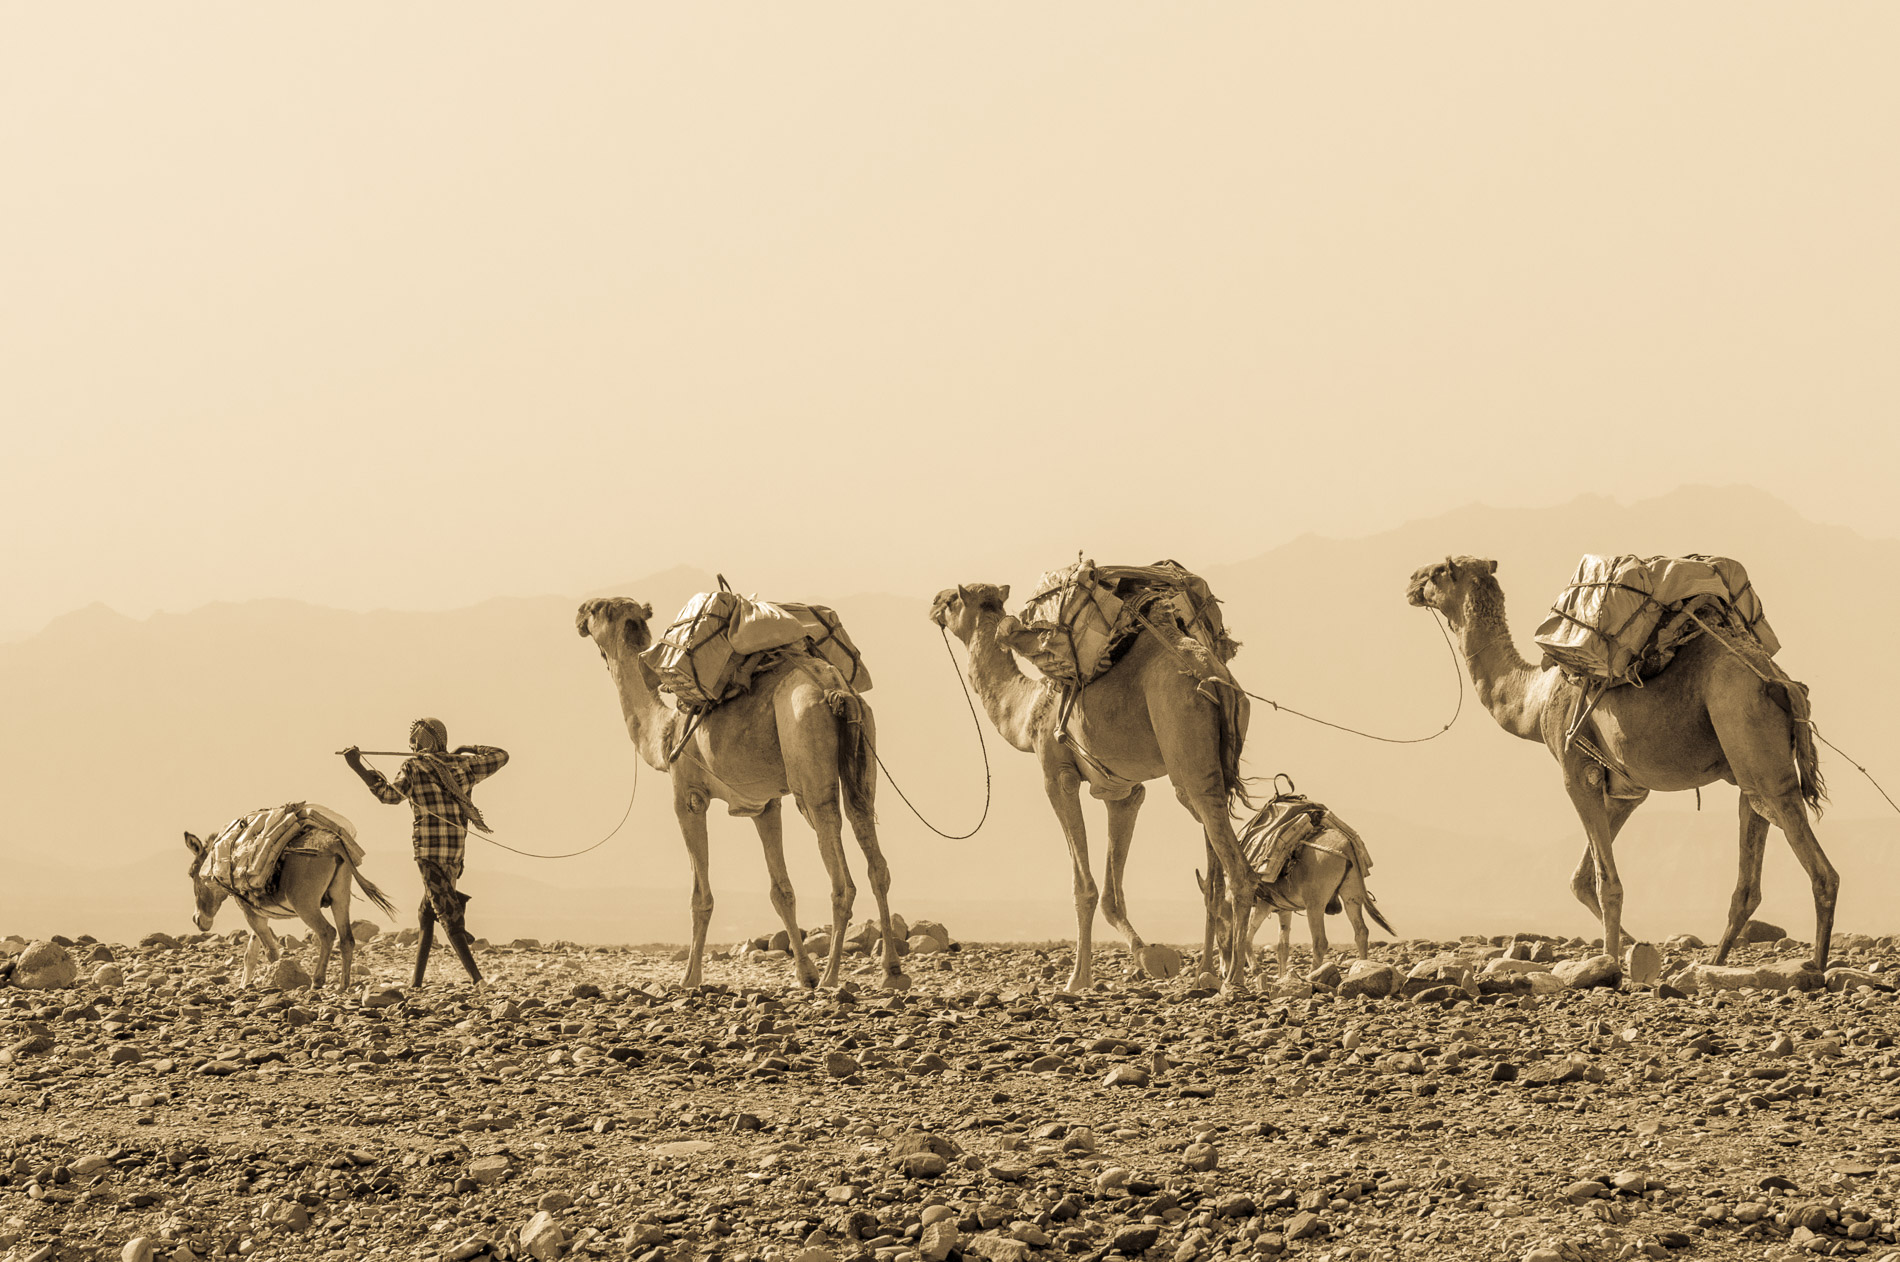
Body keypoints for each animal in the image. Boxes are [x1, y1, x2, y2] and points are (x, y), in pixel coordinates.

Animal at [181, 832, 397, 988]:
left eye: (191, 873)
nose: (197, 920)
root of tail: (332, 843)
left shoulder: (251, 914)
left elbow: (270, 952)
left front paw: (275, 979)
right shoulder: (259, 915)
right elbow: (250, 954)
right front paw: (244, 986)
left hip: (305, 905)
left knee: (327, 933)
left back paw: (317, 981)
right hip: (340, 898)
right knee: (347, 939)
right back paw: (343, 986)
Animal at [573, 596, 908, 988]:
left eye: (596, 610)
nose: (578, 614)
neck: (665, 734)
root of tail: (834, 688)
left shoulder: (688, 795)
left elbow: (700, 897)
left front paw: (689, 978)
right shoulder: (764, 804)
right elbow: (781, 891)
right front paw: (804, 974)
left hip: (806, 754)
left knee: (839, 866)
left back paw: (831, 977)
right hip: (863, 745)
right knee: (870, 844)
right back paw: (890, 971)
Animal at [931, 585, 1261, 995]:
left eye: (952, 601)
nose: (933, 603)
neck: (1027, 710)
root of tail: (1215, 678)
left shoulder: (1057, 774)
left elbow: (1083, 887)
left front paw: (1078, 978)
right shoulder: (1122, 791)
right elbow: (1110, 892)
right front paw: (1148, 955)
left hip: (1185, 748)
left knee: (1231, 858)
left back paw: (1234, 979)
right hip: (1215, 758)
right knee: (1218, 864)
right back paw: (1214, 971)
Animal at [1406, 558, 1831, 969]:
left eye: (1439, 571)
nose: (1411, 581)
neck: (1534, 700)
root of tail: (1780, 681)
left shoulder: (1577, 771)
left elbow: (1604, 883)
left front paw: (1609, 961)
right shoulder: (1627, 789)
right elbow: (1580, 878)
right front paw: (1630, 945)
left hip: (1748, 733)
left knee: (1817, 865)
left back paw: (1815, 965)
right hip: (1748, 765)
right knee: (1749, 871)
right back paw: (1717, 959)